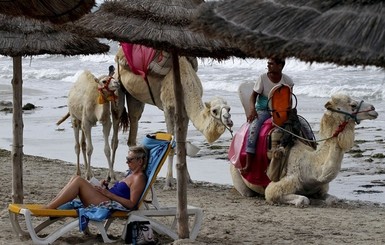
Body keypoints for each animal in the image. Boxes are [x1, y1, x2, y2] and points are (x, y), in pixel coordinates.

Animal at [113, 47, 234, 189]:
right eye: (214, 111)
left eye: (229, 108)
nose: (229, 120)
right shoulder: (167, 107)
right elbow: (171, 145)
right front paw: (168, 182)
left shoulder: (184, 112)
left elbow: (183, 146)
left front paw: (188, 180)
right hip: (117, 85)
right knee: (115, 127)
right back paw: (111, 176)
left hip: (135, 96)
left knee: (134, 123)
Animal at [230, 90, 376, 207]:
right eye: (353, 105)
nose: (373, 109)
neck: (311, 170)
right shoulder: (278, 185)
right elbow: (302, 199)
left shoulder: (321, 187)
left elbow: (332, 199)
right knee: (247, 192)